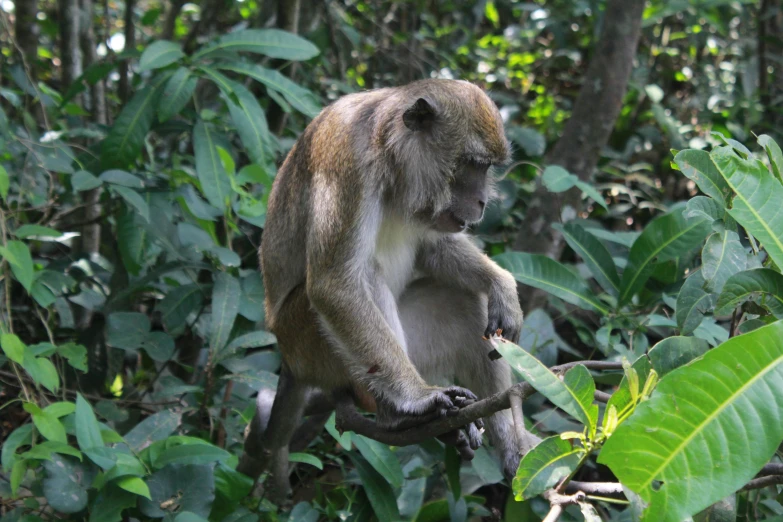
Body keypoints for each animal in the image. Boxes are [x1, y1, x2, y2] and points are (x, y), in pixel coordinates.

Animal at [240, 77, 528, 492]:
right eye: (473, 165)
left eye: (486, 167)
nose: (481, 202)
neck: (390, 158)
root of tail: (289, 360)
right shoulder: (349, 169)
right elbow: (334, 285)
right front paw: (417, 400)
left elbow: (432, 249)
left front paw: (502, 285)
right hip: (308, 343)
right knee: (365, 276)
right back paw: (398, 414)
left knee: (461, 301)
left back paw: (510, 445)